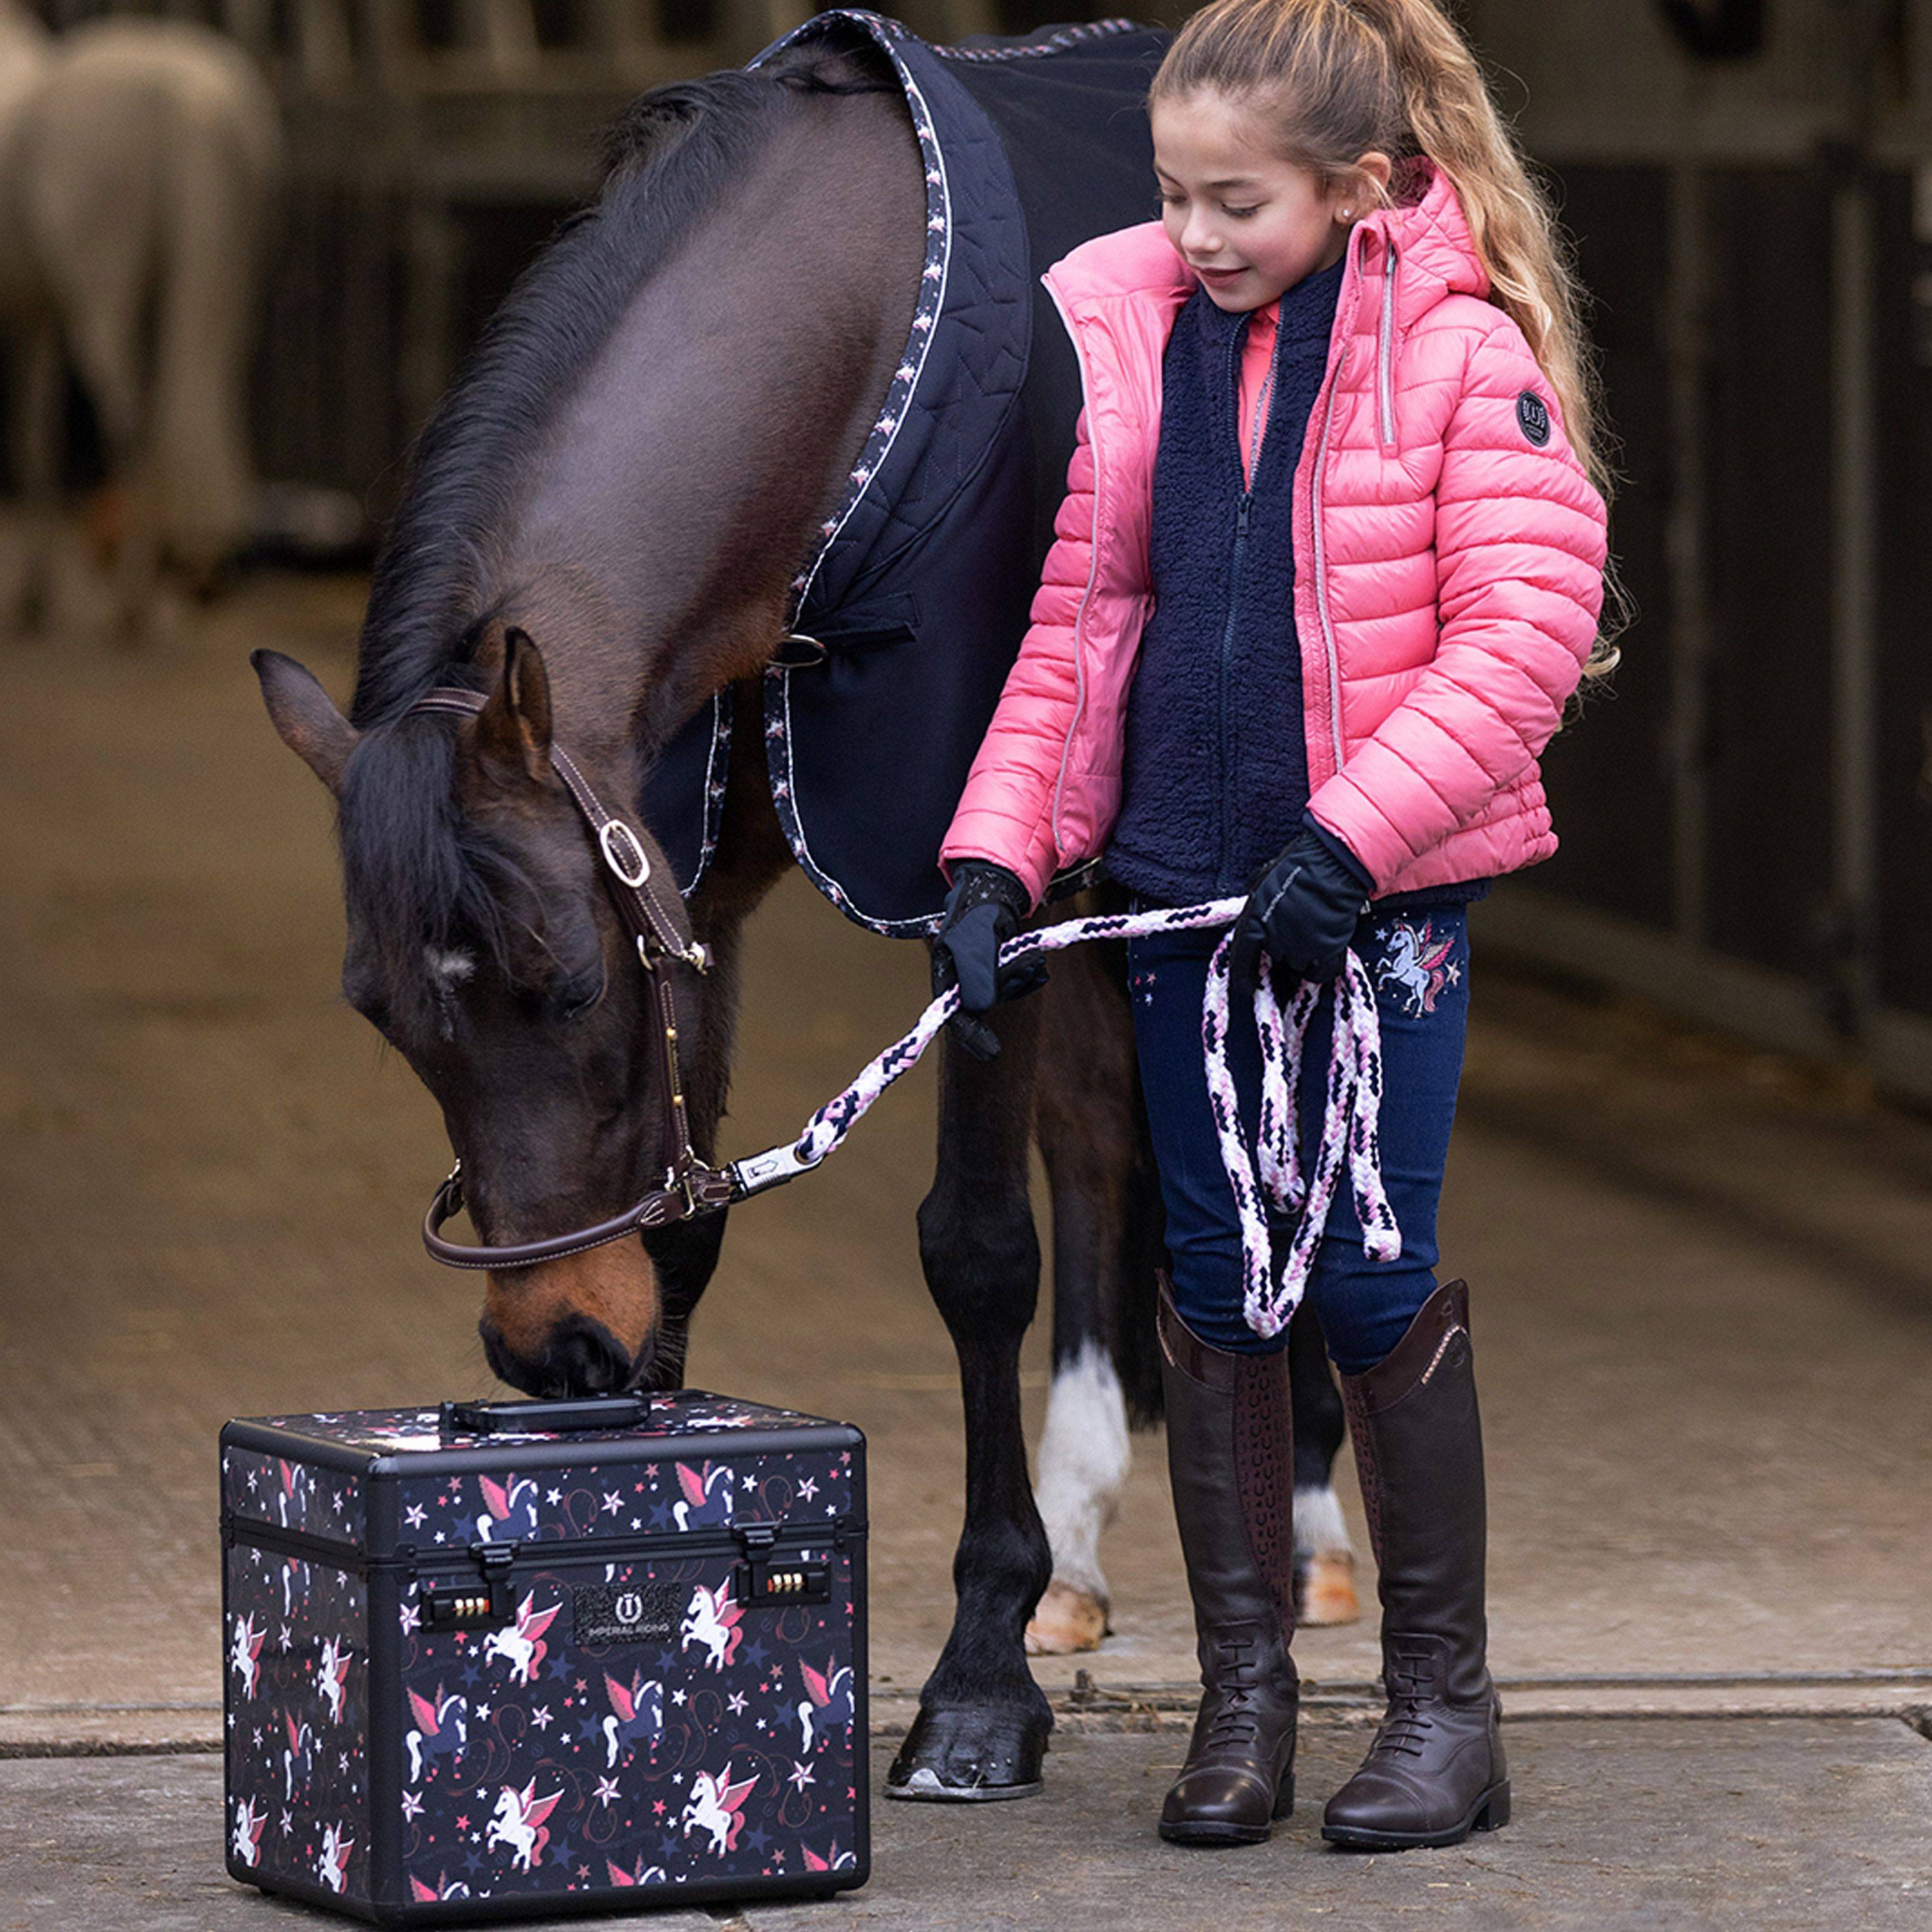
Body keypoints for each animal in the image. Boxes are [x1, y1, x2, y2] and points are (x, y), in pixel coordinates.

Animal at [0, 3, 282, 641]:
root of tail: (192, 105)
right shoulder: (40, 311)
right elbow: (37, 436)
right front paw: (35, 596)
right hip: (225, 287)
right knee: (195, 403)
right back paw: (200, 570)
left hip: (107, 301)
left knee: (132, 423)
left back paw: (133, 601)